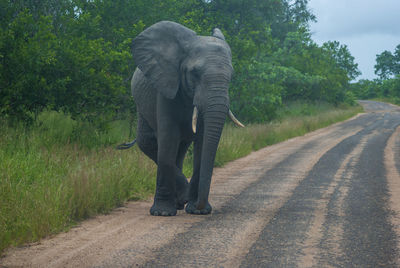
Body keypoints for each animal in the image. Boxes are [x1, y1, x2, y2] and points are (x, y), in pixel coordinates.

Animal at [119, 21, 244, 218]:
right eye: (195, 73)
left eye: (230, 76)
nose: (200, 206)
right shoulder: (166, 85)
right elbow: (168, 139)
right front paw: (163, 212)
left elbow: (202, 141)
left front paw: (196, 210)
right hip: (141, 105)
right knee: (148, 142)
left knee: (180, 148)